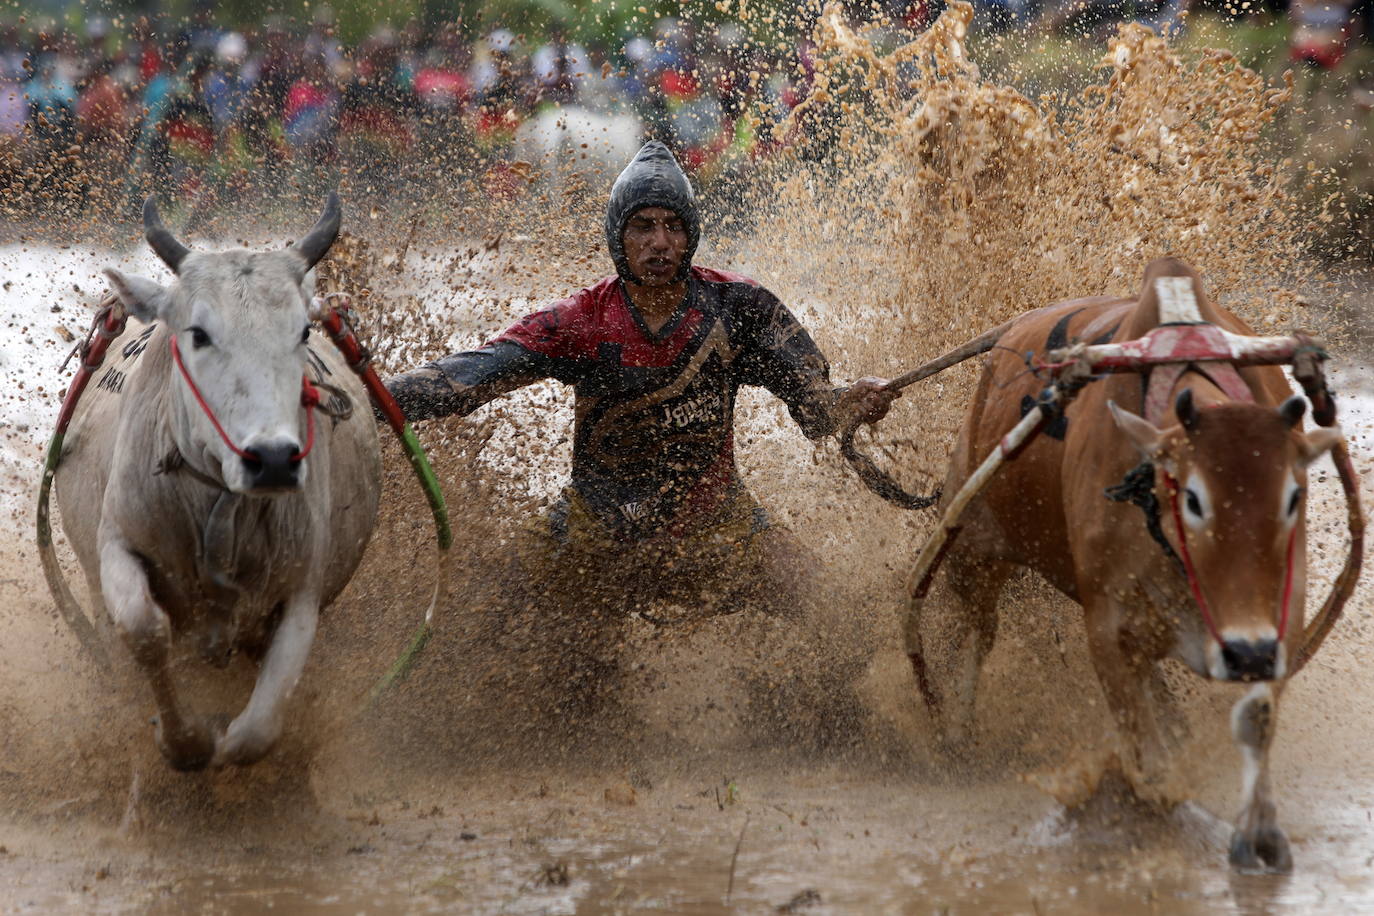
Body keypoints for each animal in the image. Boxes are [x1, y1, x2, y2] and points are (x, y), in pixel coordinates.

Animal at [54, 197, 381, 769]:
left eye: (302, 331)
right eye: (199, 334)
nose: (272, 460)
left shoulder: (303, 591)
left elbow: (257, 731)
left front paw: (222, 741)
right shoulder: (118, 543)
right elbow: (144, 629)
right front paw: (183, 741)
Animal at [912, 254, 1341, 873]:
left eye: (1292, 496)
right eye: (1192, 498)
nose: (1245, 651)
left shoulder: (1278, 621)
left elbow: (1256, 725)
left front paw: (1260, 836)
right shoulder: (1108, 629)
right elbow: (1153, 771)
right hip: (973, 548)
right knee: (977, 633)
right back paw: (958, 734)